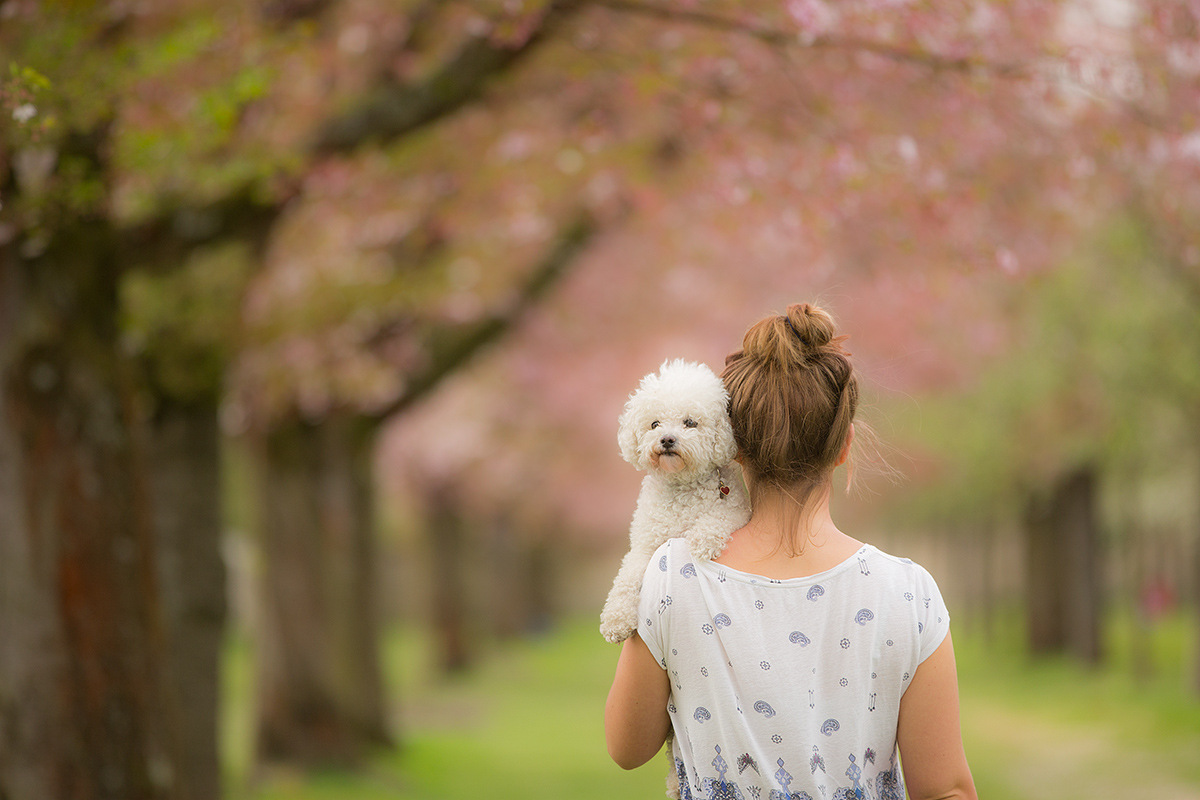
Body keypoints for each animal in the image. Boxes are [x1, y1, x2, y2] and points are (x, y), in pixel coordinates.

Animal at [600, 359, 748, 647]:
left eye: (690, 422)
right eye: (654, 424)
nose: (667, 439)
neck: (681, 487)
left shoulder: (738, 510)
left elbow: (719, 516)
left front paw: (702, 539)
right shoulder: (644, 547)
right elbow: (625, 578)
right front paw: (615, 620)